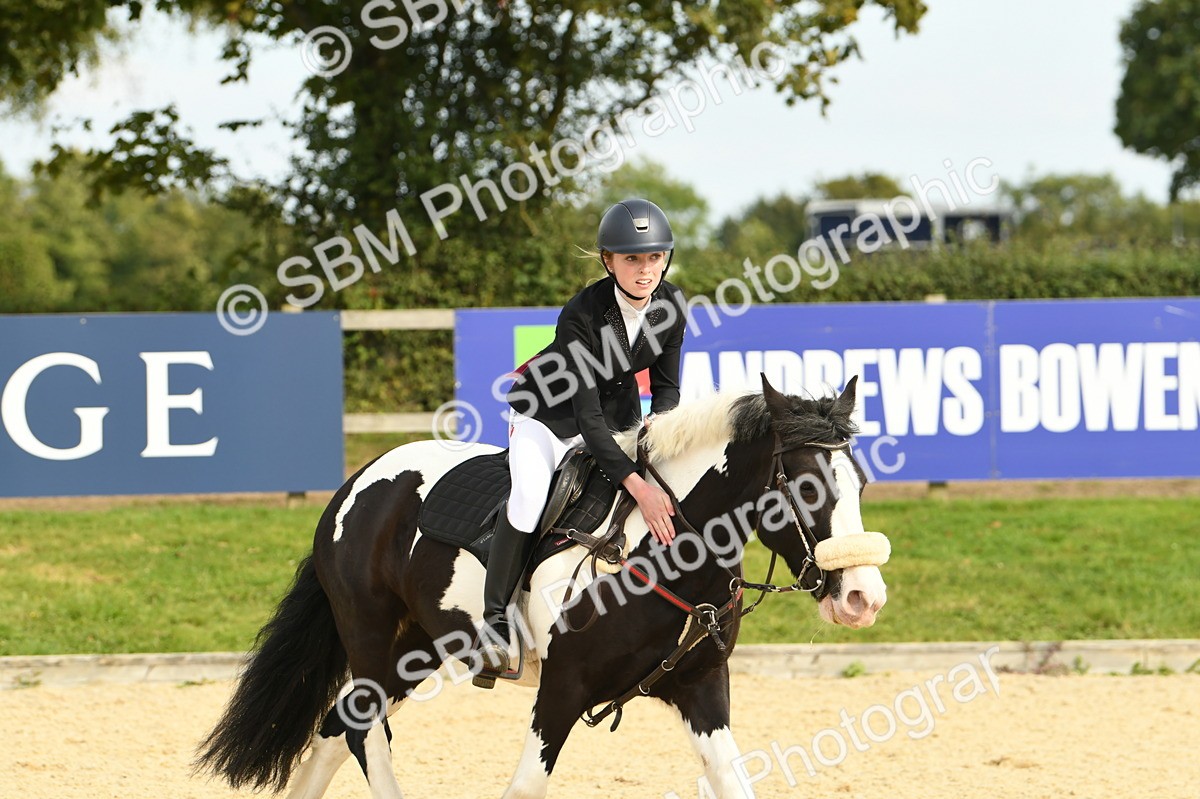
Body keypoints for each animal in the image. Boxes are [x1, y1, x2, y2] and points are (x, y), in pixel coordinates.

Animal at [195, 374, 890, 799]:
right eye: (807, 488)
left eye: (859, 483)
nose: (864, 597)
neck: (663, 548)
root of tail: (355, 484)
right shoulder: (561, 690)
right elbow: (526, 787)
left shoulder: (700, 688)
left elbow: (733, 779)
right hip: (372, 641)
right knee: (364, 730)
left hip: (412, 652)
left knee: (337, 728)